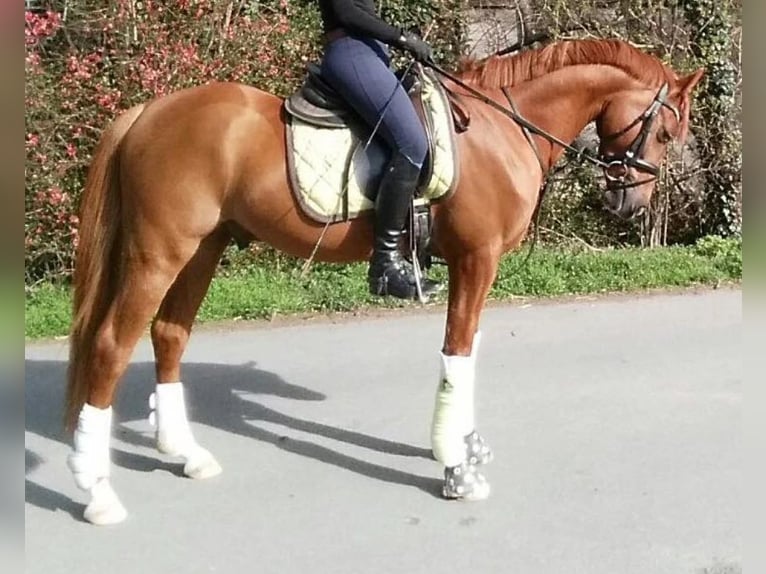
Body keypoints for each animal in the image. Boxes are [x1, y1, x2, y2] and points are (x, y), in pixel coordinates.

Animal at [63, 38, 704, 524]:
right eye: (665, 134)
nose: (631, 203)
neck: (501, 127)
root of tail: (148, 113)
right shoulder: (476, 259)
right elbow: (457, 354)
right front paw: (455, 467)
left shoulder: (478, 265)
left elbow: (468, 352)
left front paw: (467, 445)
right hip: (159, 253)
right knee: (111, 347)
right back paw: (97, 492)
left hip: (202, 249)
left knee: (169, 335)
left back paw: (185, 454)